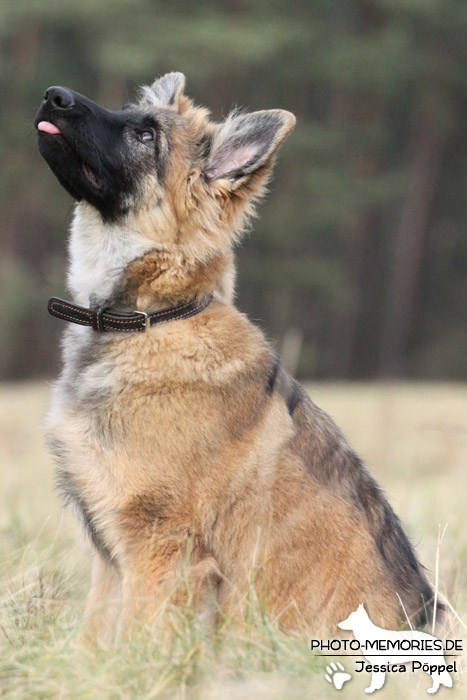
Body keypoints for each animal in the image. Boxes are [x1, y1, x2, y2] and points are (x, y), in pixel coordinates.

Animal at [35, 71, 438, 640]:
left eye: (146, 136)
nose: (53, 96)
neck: (153, 315)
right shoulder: (111, 557)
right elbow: (93, 640)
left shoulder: (160, 548)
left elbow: (136, 638)